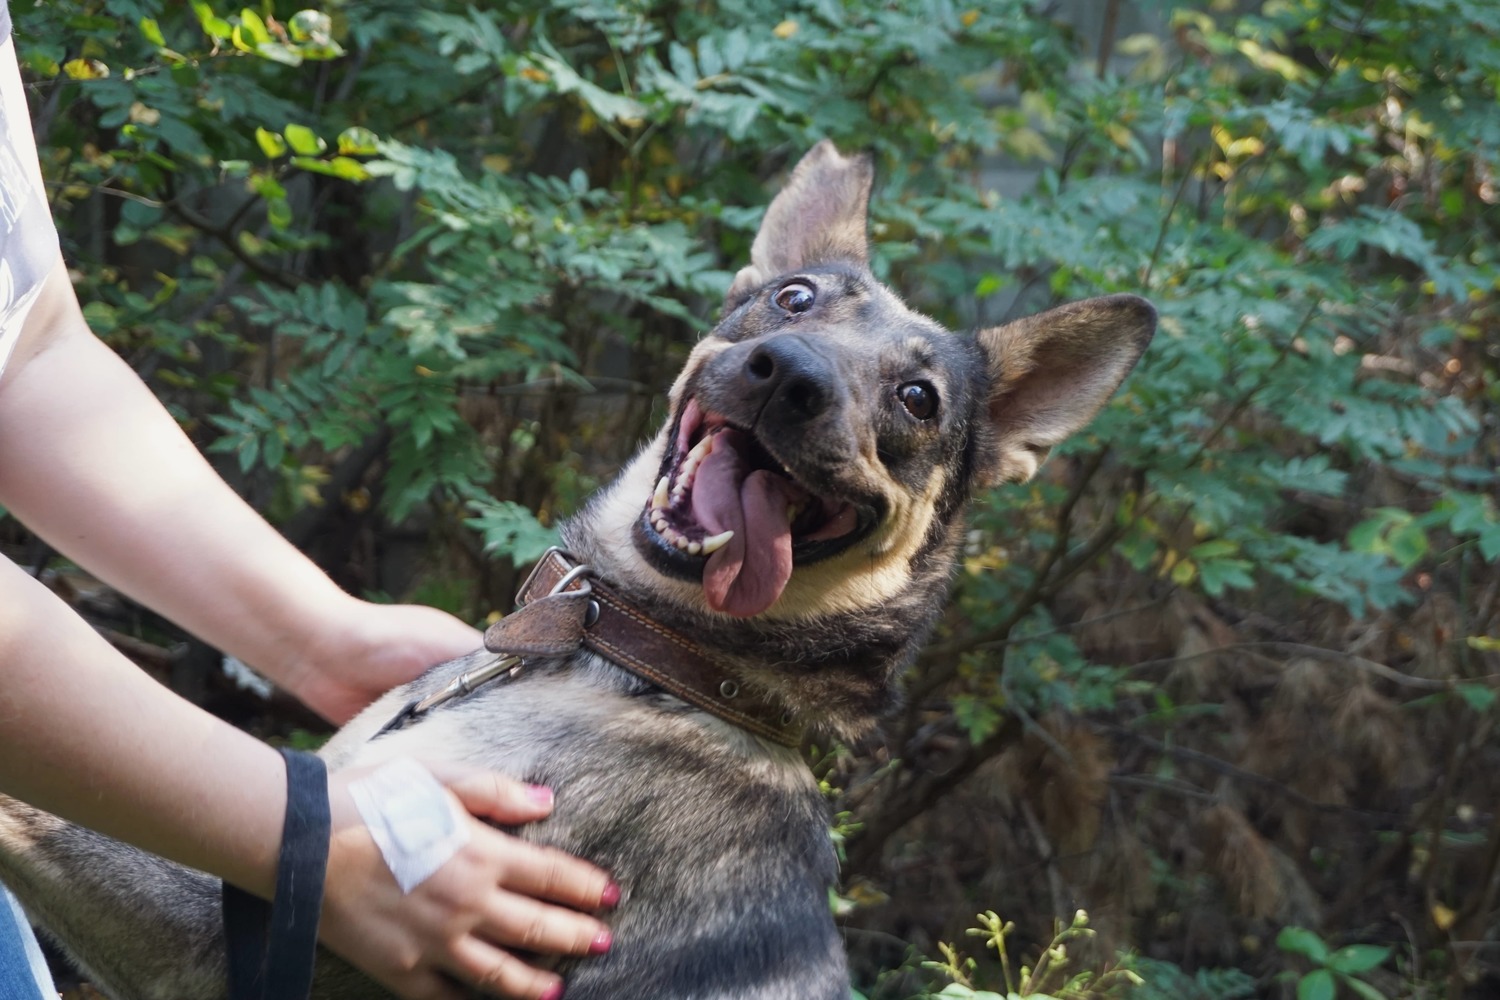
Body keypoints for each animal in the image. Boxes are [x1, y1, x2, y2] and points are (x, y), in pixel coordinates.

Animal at [0, 142, 1158, 1000]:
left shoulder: (253, 916)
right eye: (792, 298)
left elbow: (33, 809)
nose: (789, 376)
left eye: (919, 400)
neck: (644, 656)